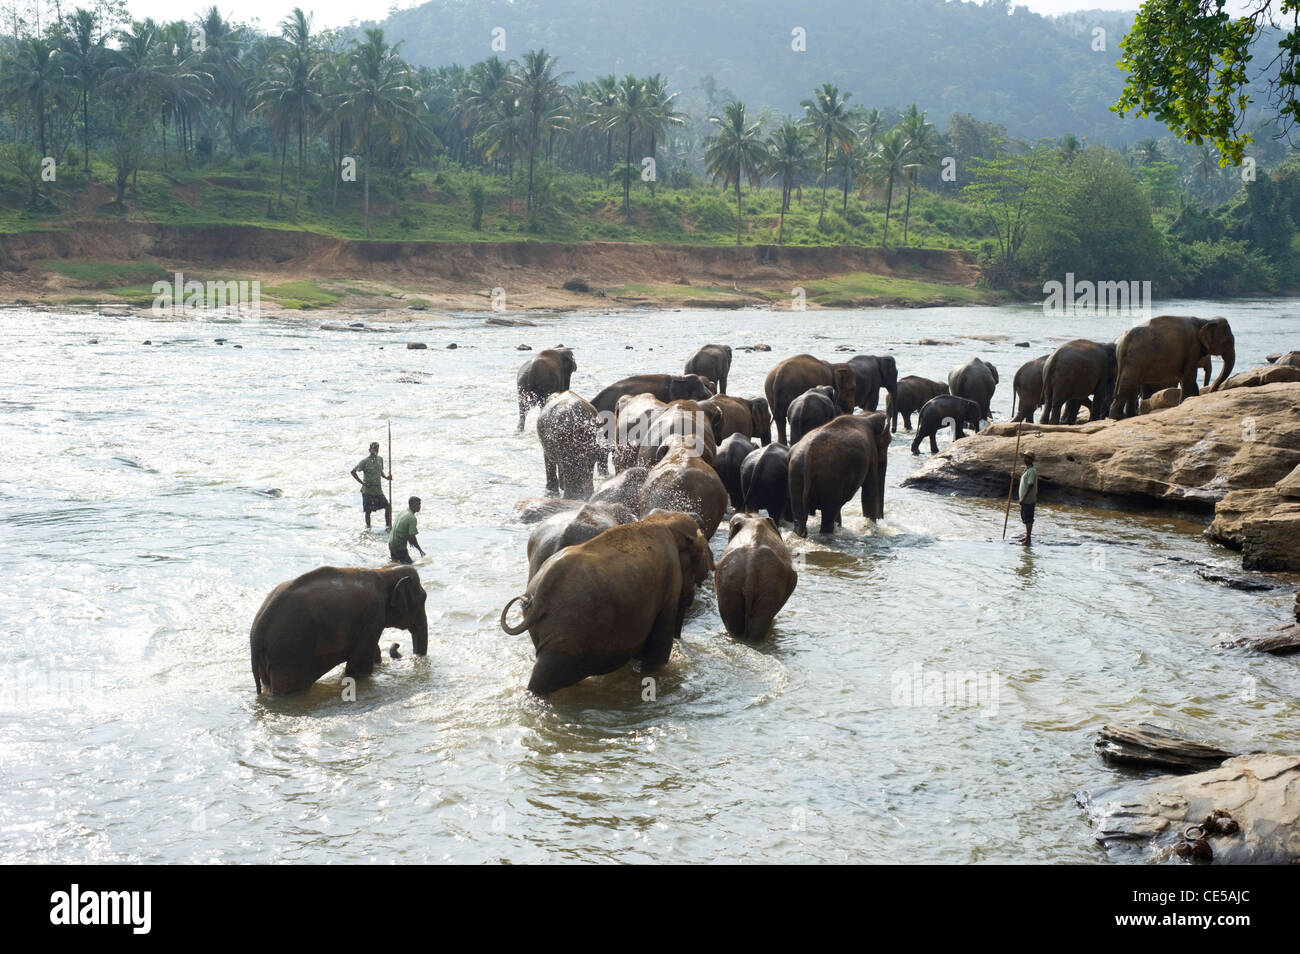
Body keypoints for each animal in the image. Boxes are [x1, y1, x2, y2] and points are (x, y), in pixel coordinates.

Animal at [253, 566, 431, 696]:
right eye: (423, 599)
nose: (397, 645)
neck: (383, 571)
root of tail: (256, 634)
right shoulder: (373, 616)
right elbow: (358, 667)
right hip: (289, 654)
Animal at [1107, 317, 1237, 418]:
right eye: (1227, 342)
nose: (1211, 391)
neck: (1205, 320)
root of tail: (1122, 342)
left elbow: (1185, 377)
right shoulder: (1192, 347)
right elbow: (1190, 376)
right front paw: (1184, 402)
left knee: (1132, 383)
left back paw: (1130, 416)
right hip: (1135, 358)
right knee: (1129, 382)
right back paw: (1119, 417)